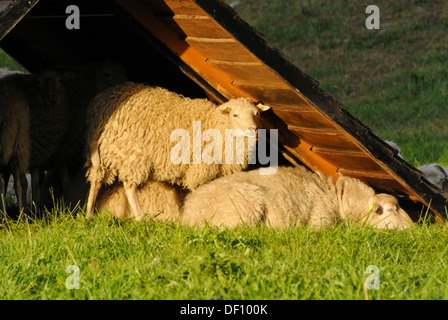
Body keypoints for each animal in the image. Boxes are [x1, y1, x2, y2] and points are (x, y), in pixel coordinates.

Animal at [86, 82, 272, 220]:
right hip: (133, 153)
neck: (217, 124)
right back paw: (141, 218)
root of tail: (102, 107)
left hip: (105, 152)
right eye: (235, 115)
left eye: (256, 114)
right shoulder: (200, 169)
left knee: (96, 180)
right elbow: (198, 192)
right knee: (129, 186)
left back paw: (88, 215)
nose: (252, 129)